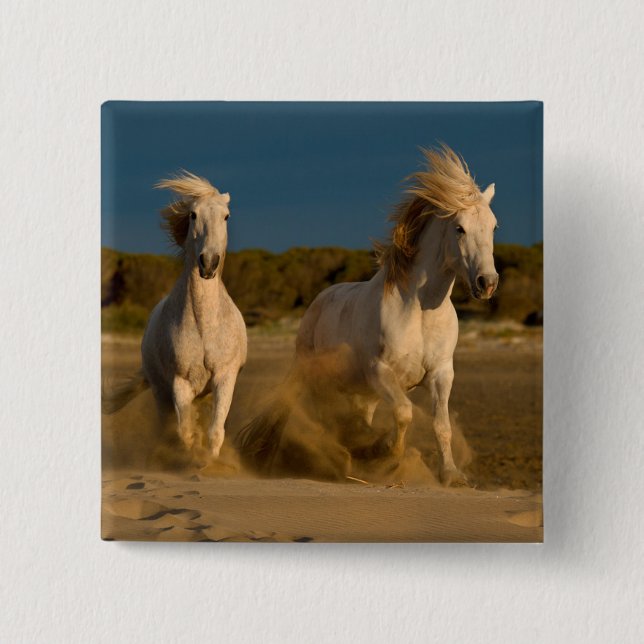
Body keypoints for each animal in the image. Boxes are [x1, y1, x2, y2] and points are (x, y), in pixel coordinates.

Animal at [102, 171, 247, 459]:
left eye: (226, 216)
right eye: (193, 214)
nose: (208, 263)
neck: (204, 324)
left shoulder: (225, 377)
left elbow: (215, 431)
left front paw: (210, 463)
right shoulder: (180, 383)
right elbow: (186, 433)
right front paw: (192, 459)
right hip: (161, 391)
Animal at [236, 145, 498, 486]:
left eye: (494, 226)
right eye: (459, 228)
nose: (487, 283)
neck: (419, 312)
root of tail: (319, 300)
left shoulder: (441, 373)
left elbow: (442, 425)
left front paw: (451, 476)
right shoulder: (380, 372)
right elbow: (404, 412)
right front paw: (384, 454)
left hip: (362, 393)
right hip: (316, 376)